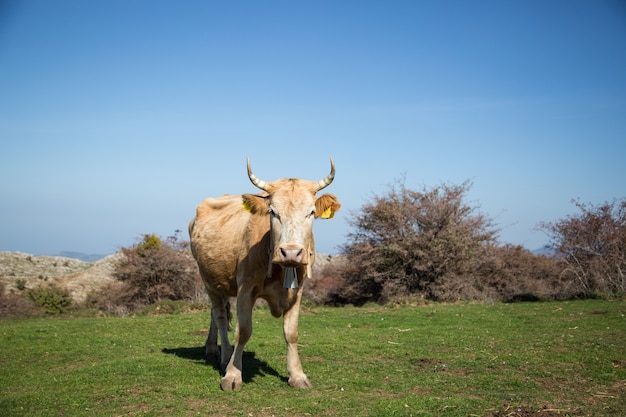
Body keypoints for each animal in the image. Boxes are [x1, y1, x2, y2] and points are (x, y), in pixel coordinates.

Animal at [188, 157, 338, 390]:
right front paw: (233, 375)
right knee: (219, 315)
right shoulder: (245, 288)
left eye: (311, 212)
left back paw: (212, 349)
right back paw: (224, 355)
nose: (291, 252)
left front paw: (297, 375)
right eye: (273, 212)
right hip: (207, 279)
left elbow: (291, 333)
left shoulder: (298, 290)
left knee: (216, 312)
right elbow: (243, 331)